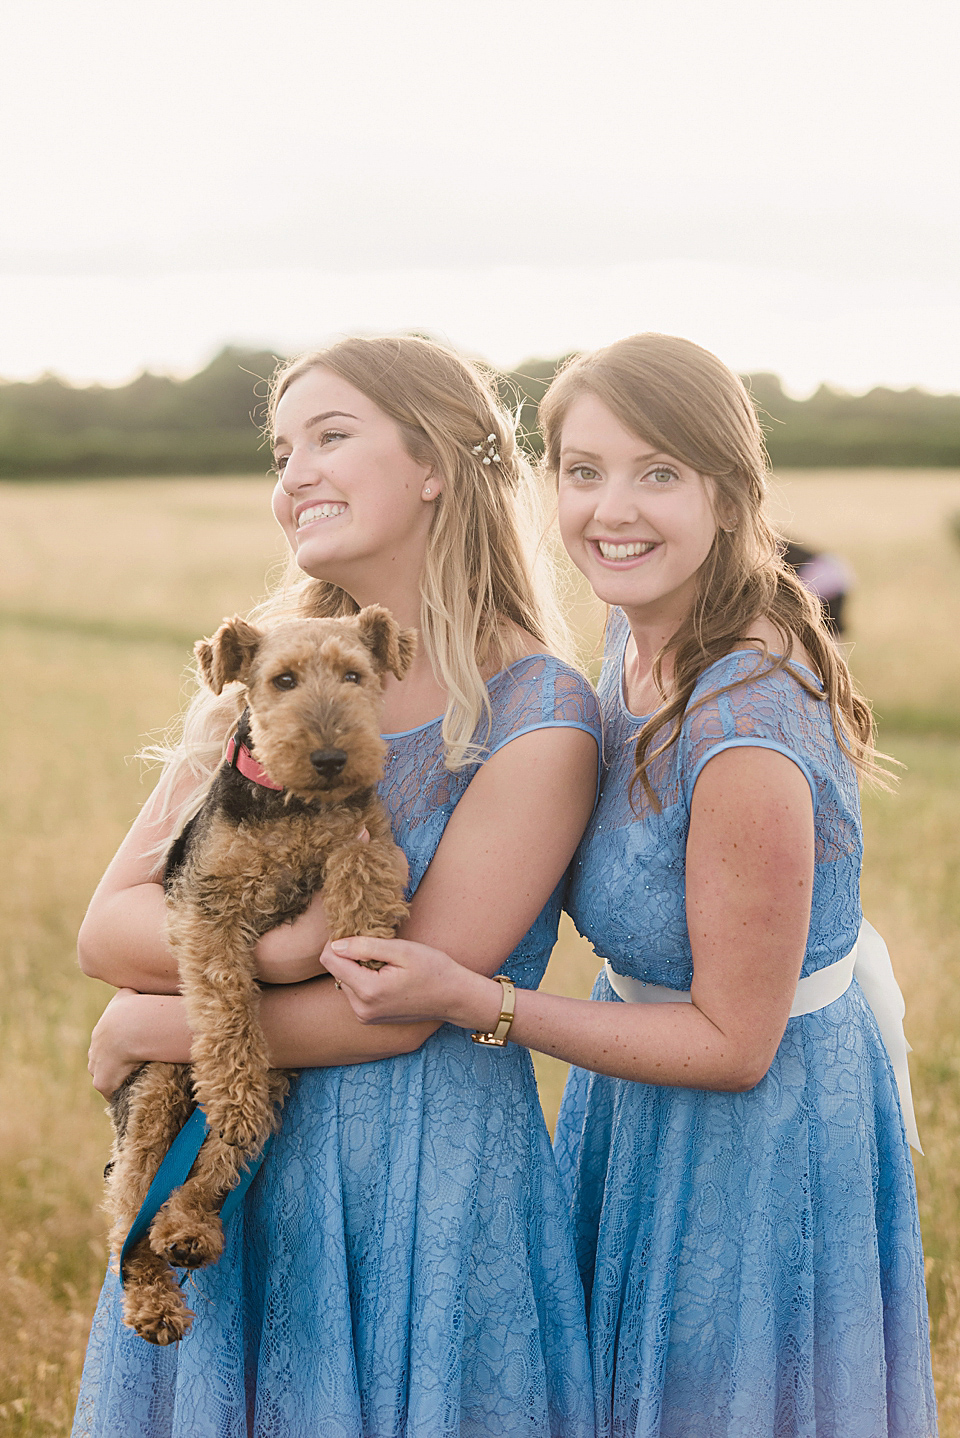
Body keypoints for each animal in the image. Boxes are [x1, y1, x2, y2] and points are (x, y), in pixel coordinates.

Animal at [107, 601, 413, 1340]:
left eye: (354, 675)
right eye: (283, 680)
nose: (331, 759)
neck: (294, 805)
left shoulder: (368, 835)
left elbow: (360, 862)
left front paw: (364, 937)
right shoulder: (208, 907)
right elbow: (226, 1009)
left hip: (275, 1080)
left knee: (214, 1163)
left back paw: (190, 1230)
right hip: (155, 1088)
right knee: (129, 1207)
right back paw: (155, 1300)